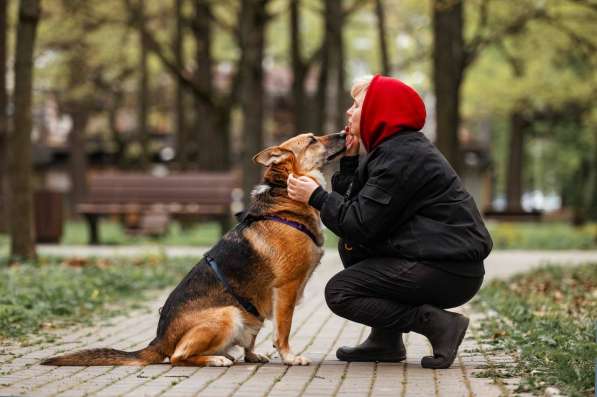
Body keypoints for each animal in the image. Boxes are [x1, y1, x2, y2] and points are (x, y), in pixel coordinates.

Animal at [43, 130, 344, 366]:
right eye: (312, 139)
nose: (343, 132)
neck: (285, 197)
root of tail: (159, 339)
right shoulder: (286, 290)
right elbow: (284, 330)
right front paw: (290, 357)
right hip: (229, 313)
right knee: (178, 356)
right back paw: (215, 359)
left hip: (249, 312)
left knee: (243, 345)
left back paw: (244, 355)